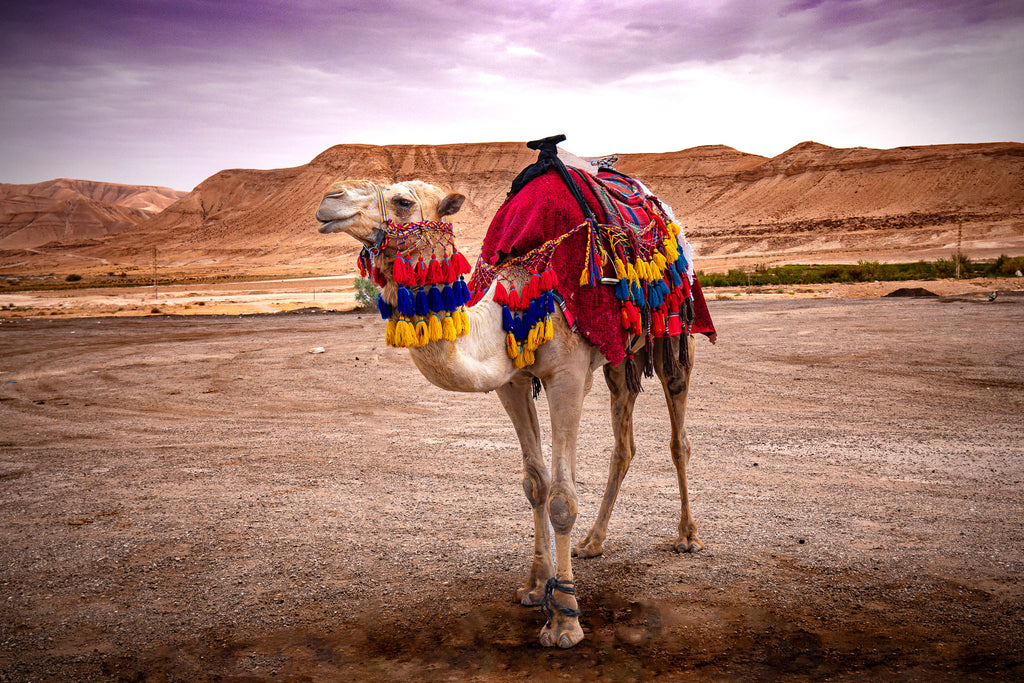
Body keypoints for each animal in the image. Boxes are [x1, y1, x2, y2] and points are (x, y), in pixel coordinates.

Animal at [315, 168, 705, 649]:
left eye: (403, 201)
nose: (330, 199)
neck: (513, 303)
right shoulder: (512, 382)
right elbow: (535, 484)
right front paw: (536, 587)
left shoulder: (567, 376)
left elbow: (562, 499)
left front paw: (564, 619)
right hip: (619, 354)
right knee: (624, 440)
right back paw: (592, 543)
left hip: (676, 328)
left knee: (678, 435)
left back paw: (687, 536)